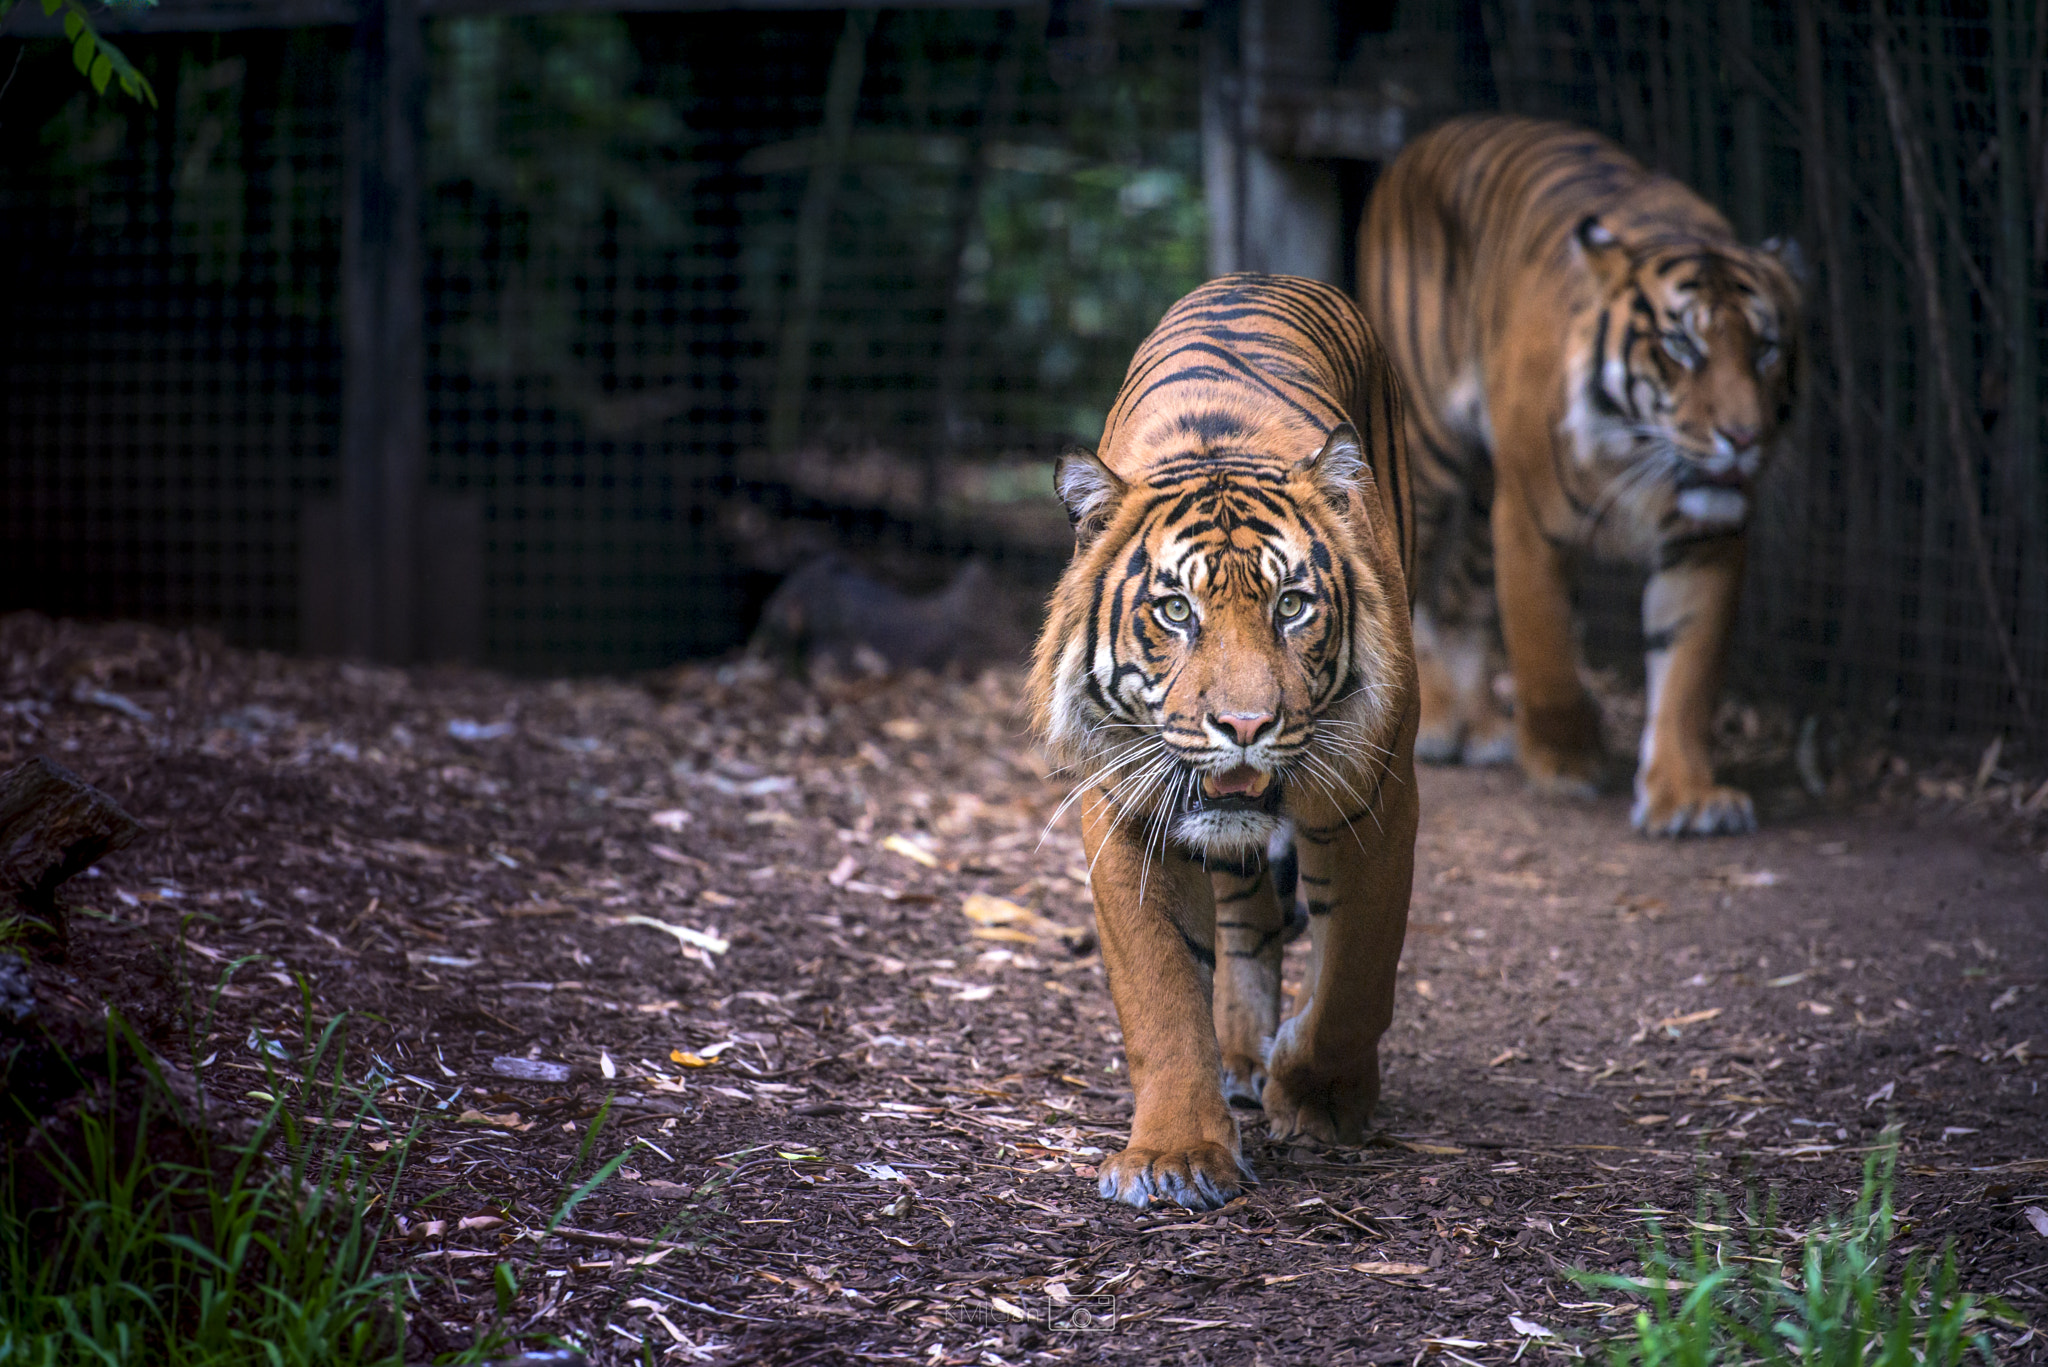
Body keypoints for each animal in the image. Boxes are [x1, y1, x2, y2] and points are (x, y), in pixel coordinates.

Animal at [1027, 273, 1418, 1209]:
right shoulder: (1124, 806)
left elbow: (1358, 968)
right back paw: (1240, 1053)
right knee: (1248, 912)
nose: (1245, 726)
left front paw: (1317, 1097)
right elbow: (1163, 991)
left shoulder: (1378, 795)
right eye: (1176, 610)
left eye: (1293, 605)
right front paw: (1174, 1152)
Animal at [1357, 114, 1802, 835]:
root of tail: (1421, 141)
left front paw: (1685, 797)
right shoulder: (1529, 521)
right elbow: (1546, 655)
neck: (1642, 459)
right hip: (1426, 453)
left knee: (1457, 598)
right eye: (1682, 345)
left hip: (1479, 500)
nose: (1743, 439)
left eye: (1765, 348)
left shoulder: (1709, 539)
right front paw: (1566, 763)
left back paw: (1474, 725)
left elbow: (1688, 672)